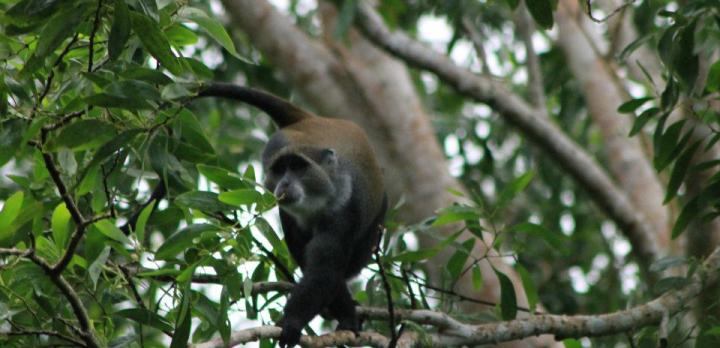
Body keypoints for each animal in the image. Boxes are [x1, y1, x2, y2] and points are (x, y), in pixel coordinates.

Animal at [197, 83, 388, 346]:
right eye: (280, 170)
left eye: (298, 168)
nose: (285, 183)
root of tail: (312, 119)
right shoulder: (289, 214)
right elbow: (321, 270)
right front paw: (339, 316)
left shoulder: (343, 211)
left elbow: (324, 270)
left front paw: (294, 321)